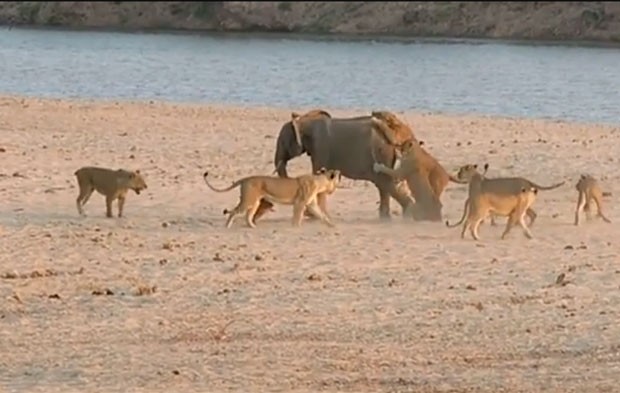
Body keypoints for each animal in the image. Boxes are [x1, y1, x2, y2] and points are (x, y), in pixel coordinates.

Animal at [203, 167, 342, 228]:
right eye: (338, 177)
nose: (340, 172)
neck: (320, 181)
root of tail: (245, 179)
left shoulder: (311, 204)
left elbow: (321, 215)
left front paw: (331, 225)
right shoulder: (300, 203)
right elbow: (297, 217)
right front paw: (295, 228)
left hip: (255, 202)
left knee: (247, 216)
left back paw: (253, 227)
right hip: (248, 201)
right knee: (234, 212)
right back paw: (227, 226)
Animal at [270, 108, 418, 219]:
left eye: (282, 142)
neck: (304, 120)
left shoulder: (320, 147)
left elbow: (319, 174)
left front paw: (312, 216)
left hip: (381, 153)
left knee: (384, 182)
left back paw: (407, 213)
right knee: (383, 185)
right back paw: (387, 217)